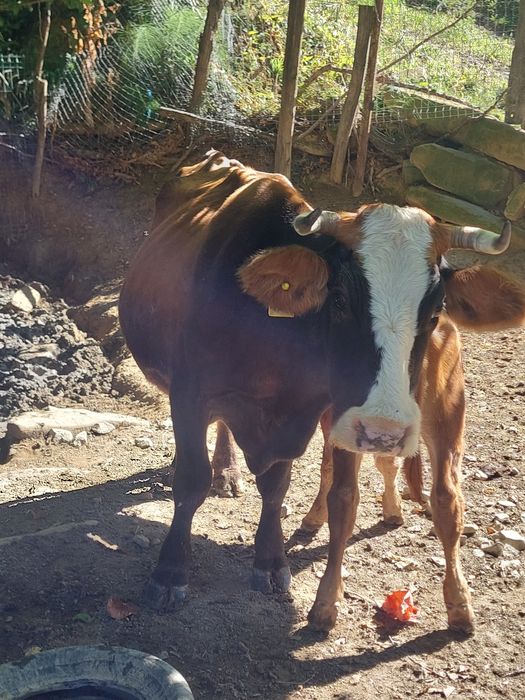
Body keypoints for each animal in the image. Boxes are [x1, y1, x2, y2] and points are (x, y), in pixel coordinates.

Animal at [119, 150, 525, 634]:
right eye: (340, 299)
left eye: (435, 311)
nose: (383, 430)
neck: (272, 341)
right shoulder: (190, 392)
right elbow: (191, 480)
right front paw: (170, 572)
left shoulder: (309, 410)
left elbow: (277, 485)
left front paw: (270, 561)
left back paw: (229, 470)